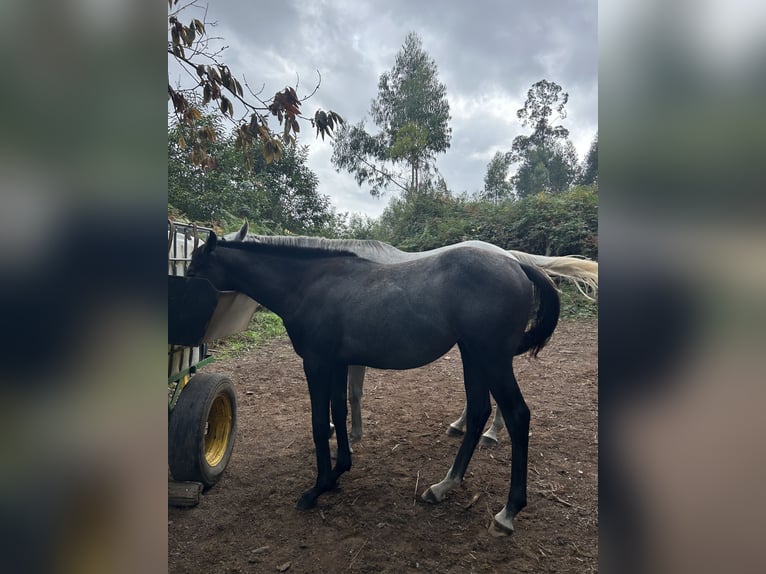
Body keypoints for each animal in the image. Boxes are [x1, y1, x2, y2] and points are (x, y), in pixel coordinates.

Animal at [186, 233, 560, 536]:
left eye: (193, 269)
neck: (309, 284)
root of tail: (515, 263)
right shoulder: (338, 363)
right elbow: (340, 410)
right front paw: (338, 473)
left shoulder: (317, 363)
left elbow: (320, 423)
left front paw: (316, 488)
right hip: (473, 355)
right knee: (479, 409)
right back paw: (443, 486)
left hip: (492, 358)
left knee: (517, 414)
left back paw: (508, 511)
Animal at [224, 223, 600, 448]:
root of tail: (510, 258)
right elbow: (350, 394)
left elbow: (352, 394)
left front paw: (352, 434)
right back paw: (461, 425)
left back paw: (491, 433)